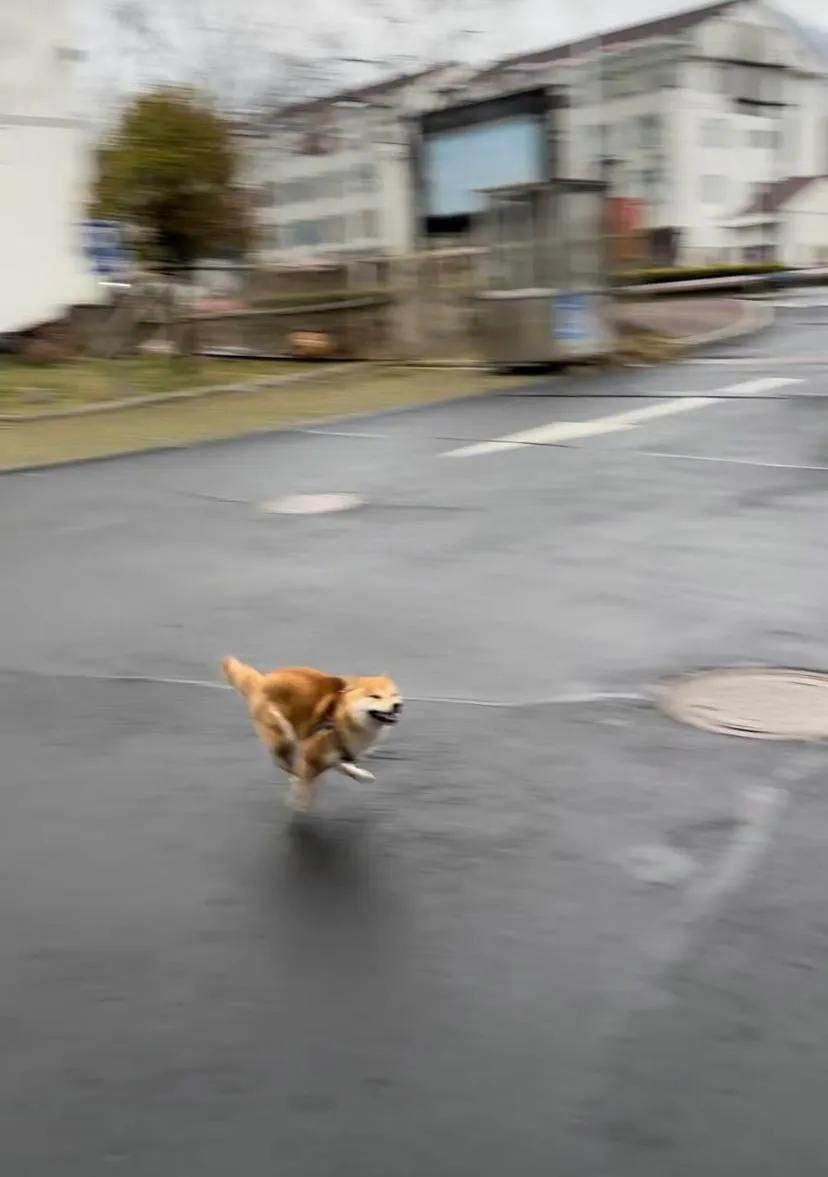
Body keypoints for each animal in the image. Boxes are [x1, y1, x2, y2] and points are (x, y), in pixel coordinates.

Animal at [220, 659, 400, 814]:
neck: (342, 716)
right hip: (282, 734)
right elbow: (307, 780)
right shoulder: (313, 751)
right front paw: (300, 799)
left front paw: (360, 774)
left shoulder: (334, 752)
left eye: (394, 694)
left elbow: (339, 764)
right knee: (283, 759)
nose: (397, 705)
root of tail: (263, 680)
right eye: (375, 696)